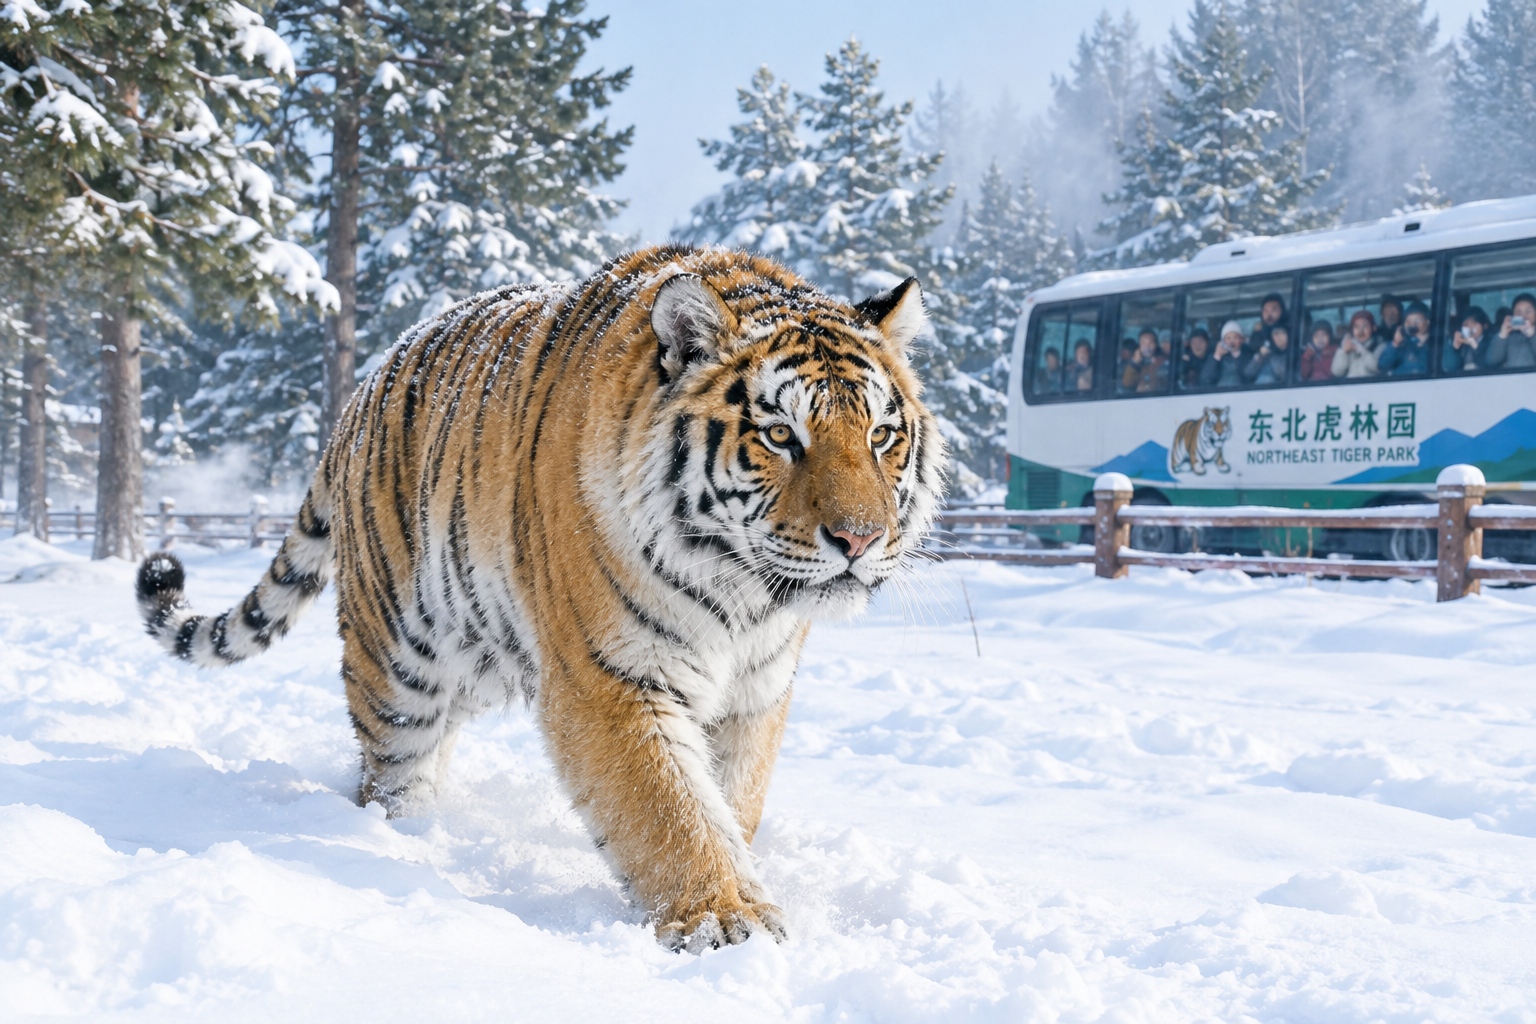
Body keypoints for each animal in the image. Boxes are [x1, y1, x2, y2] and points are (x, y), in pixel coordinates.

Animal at [134, 244, 946, 952]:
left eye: (881, 436)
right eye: (779, 435)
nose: (861, 540)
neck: (742, 595)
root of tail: (359, 394)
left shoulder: (756, 688)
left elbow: (729, 798)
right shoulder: (611, 676)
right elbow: (671, 808)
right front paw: (724, 921)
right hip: (399, 662)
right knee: (391, 770)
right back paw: (401, 845)